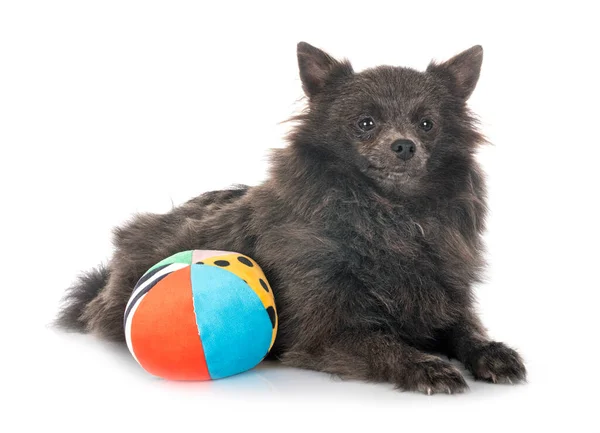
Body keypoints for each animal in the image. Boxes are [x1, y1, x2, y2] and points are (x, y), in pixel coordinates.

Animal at [56, 42, 524, 394]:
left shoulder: (442, 301)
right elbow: (383, 345)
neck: (390, 218)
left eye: (427, 124)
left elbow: (467, 332)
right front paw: (425, 366)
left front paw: (492, 352)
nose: (404, 145)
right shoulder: (326, 333)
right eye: (365, 123)